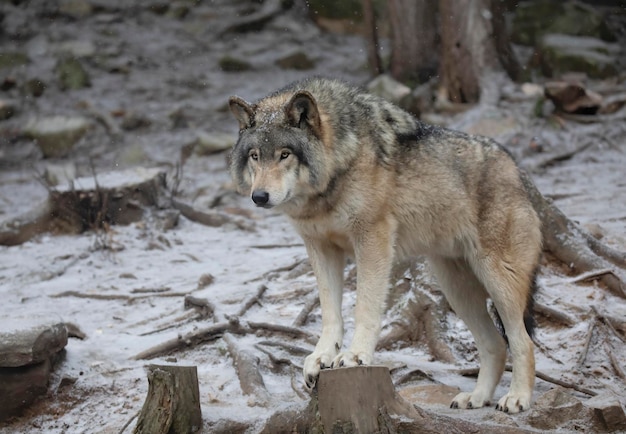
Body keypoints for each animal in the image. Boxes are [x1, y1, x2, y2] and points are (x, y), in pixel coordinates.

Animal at [227, 78, 540, 414]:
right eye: (255, 156)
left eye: (285, 154)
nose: (259, 197)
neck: (336, 171)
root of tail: (518, 171)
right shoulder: (320, 247)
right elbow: (330, 312)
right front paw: (322, 357)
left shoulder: (372, 239)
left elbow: (365, 306)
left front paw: (355, 356)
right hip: (456, 289)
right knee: (495, 345)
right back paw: (477, 398)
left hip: (496, 281)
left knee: (523, 342)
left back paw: (517, 398)